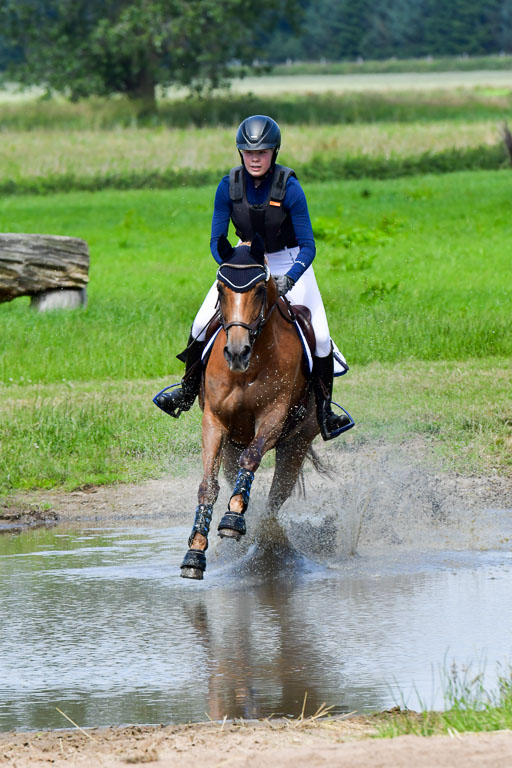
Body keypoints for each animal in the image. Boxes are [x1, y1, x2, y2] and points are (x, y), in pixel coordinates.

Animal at [180, 234, 322, 580]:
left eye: (259, 289)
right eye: (220, 289)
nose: (236, 352)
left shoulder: (274, 416)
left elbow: (253, 457)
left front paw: (232, 520)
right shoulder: (214, 422)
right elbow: (207, 486)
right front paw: (195, 552)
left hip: (296, 444)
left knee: (275, 499)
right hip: (232, 444)